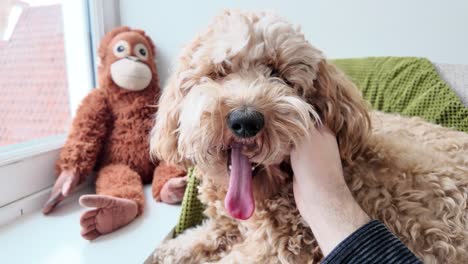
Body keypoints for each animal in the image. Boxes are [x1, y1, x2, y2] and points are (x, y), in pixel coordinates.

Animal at [150, 10, 468, 264]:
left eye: (278, 74)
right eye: (220, 71)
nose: (245, 120)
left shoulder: (277, 250)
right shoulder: (226, 228)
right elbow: (192, 239)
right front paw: (165, 251)